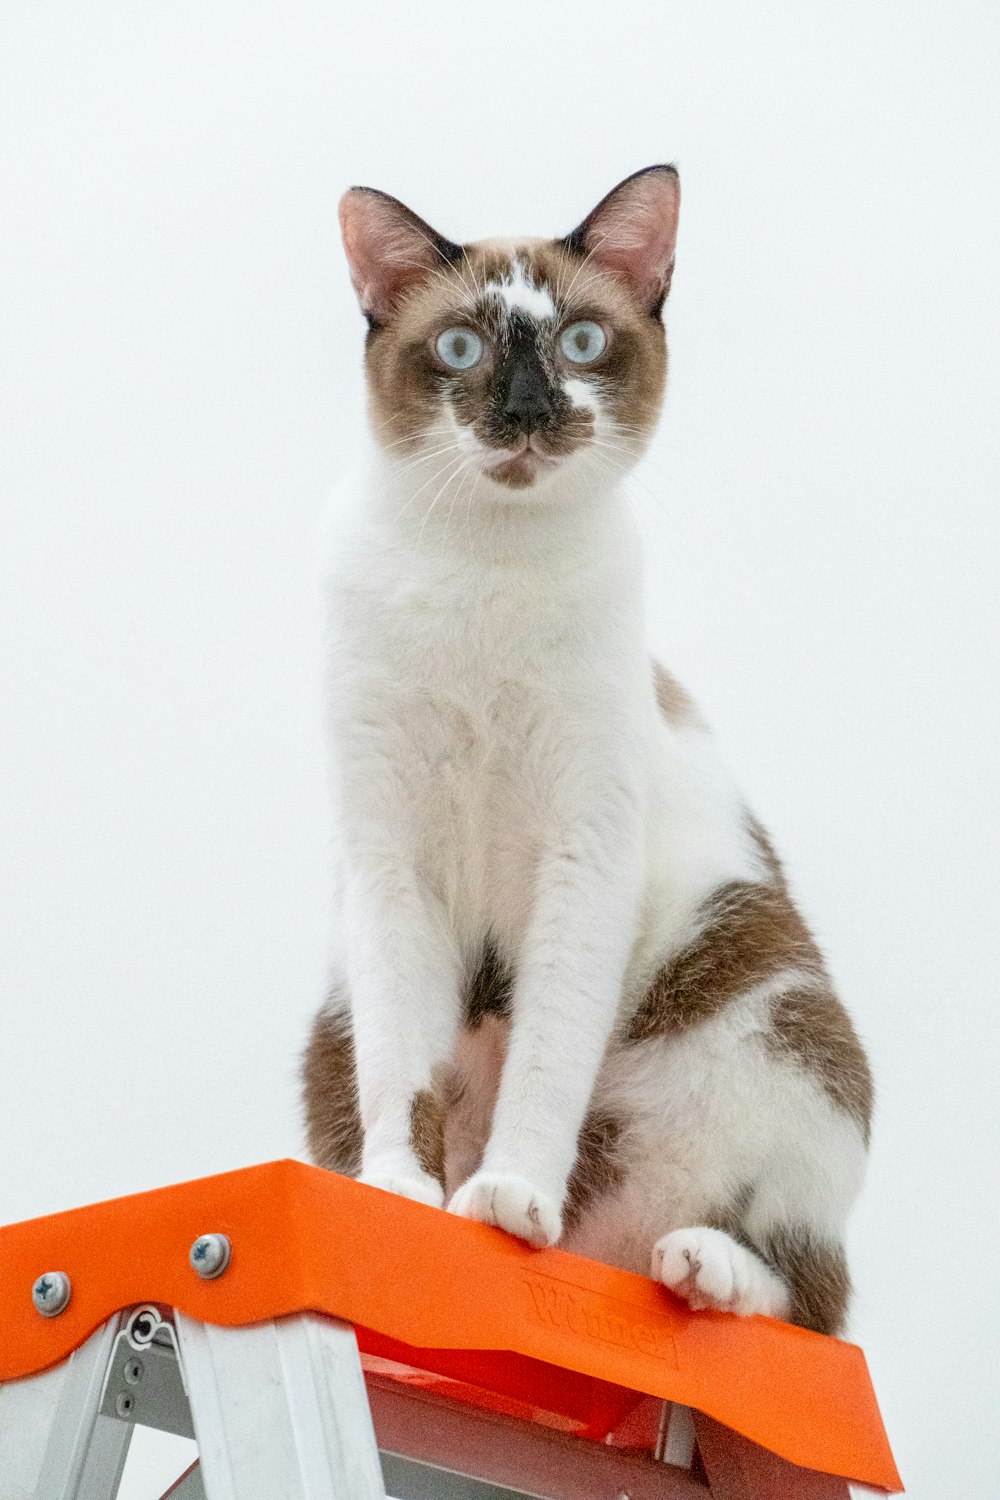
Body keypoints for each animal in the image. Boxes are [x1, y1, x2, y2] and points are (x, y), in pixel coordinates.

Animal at [301, 164, 869, 1338]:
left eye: (582, 343)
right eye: (460, 348)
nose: (526, 412)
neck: (481, 566)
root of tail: (600, 1251)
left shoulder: (583, 854)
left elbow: (549, 1058)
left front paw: (508, 1195)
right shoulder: (387, 865)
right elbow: (402, 1066)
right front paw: (403, 1196)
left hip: (772, 1016)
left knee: (805, 1288)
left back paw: (698, 1267)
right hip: (325, 1031)